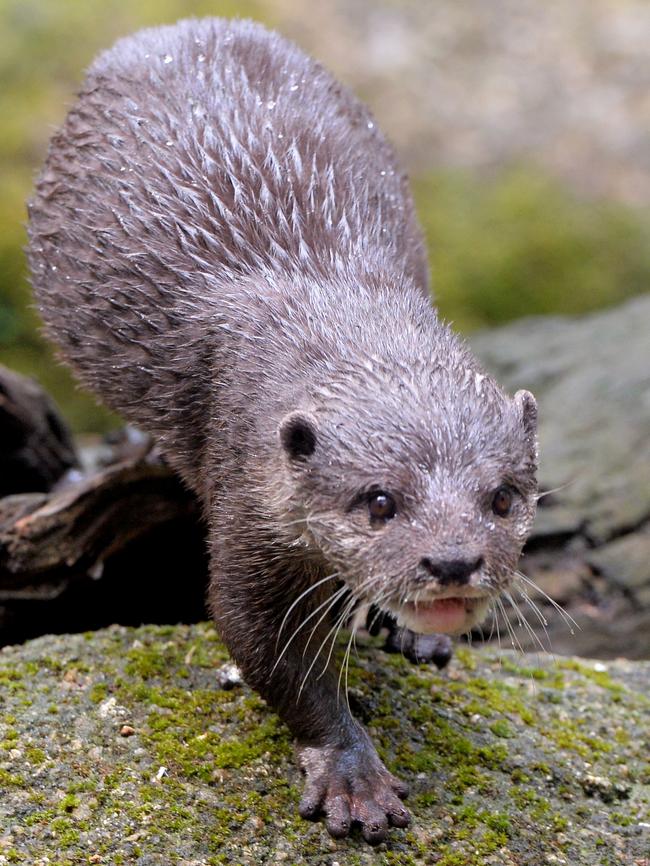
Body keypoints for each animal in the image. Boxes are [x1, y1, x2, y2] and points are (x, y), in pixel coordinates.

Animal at [29, 16, 536, 844]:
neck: (329, 300)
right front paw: (353, 779)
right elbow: (264, 642)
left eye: (502, 498)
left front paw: (417, 634)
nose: (455, 562)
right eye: (379, 501)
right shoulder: (243, 477)